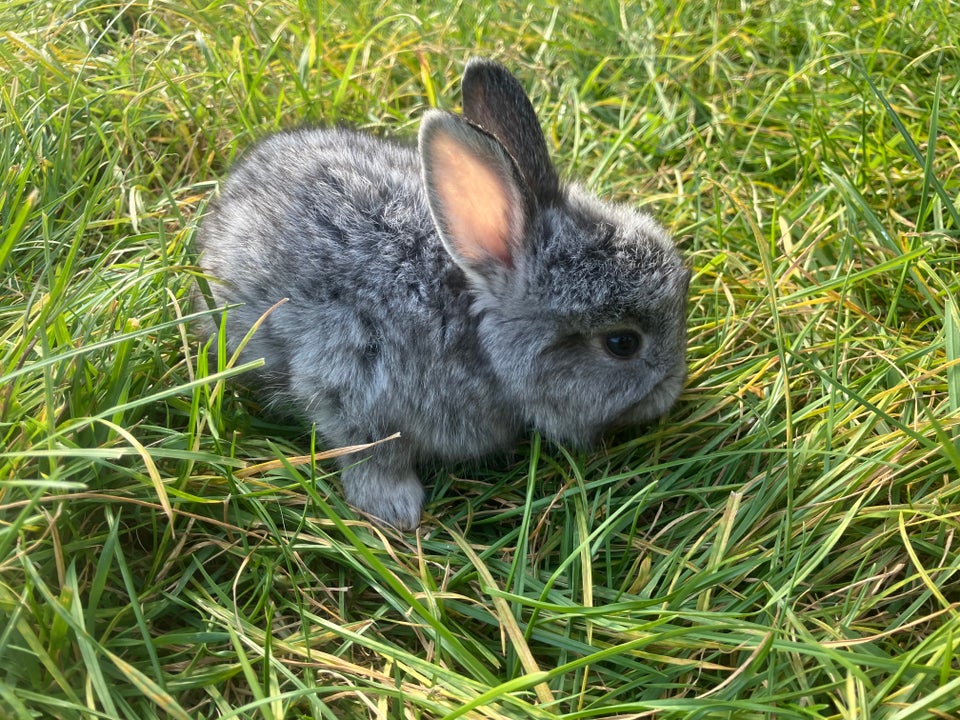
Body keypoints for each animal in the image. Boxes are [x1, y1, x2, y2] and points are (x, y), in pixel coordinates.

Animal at [197, 57, 688, 528]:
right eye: (622, 343)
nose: (672, 389)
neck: (473, 331)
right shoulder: (349, 378)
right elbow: (370, 450)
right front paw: (395, 508)